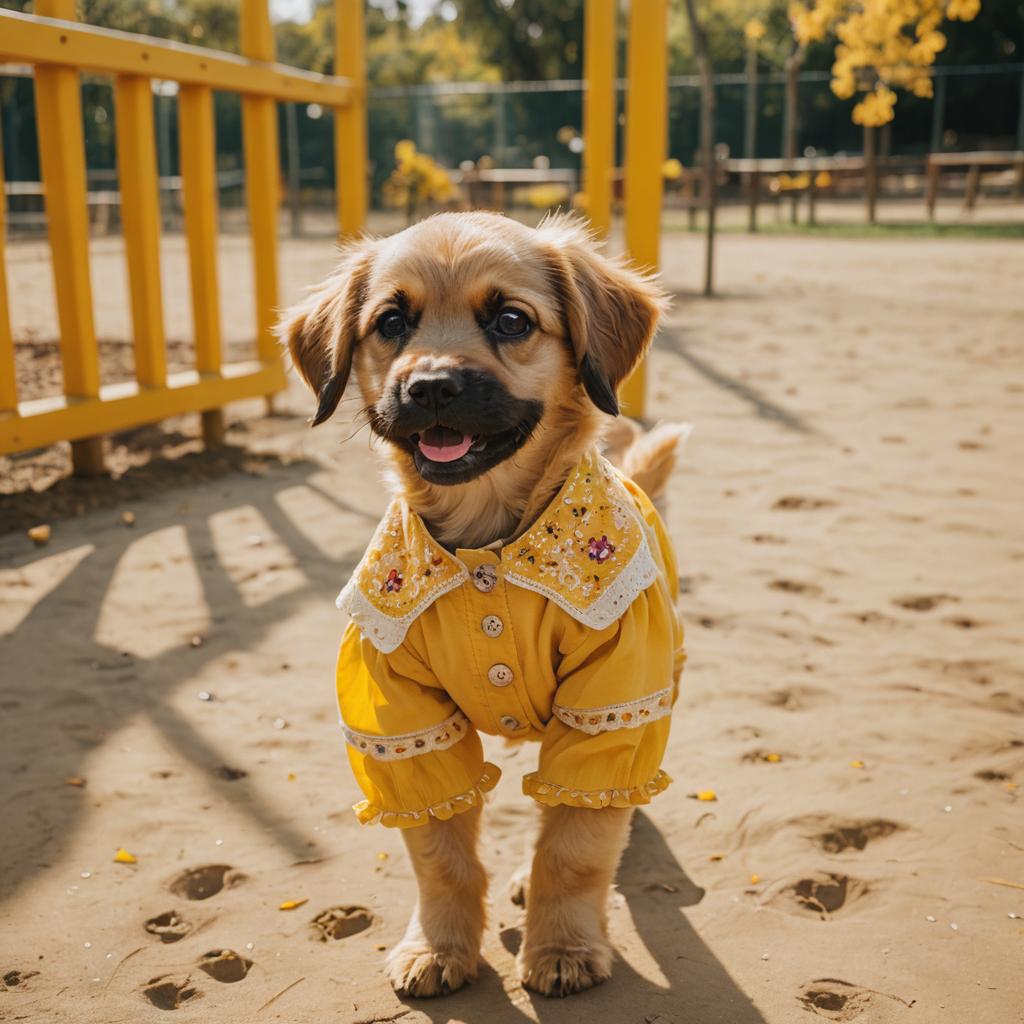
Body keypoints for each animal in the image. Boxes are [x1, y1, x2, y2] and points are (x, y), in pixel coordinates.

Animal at [276, 211, 684, 995]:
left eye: (510, 319)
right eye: (391, 322)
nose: (431, 388)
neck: (486, 552)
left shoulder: (612, 699)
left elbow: (575, 845)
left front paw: (562, 947)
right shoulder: (402, 723)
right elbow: (440, 856)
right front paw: (438, 947)